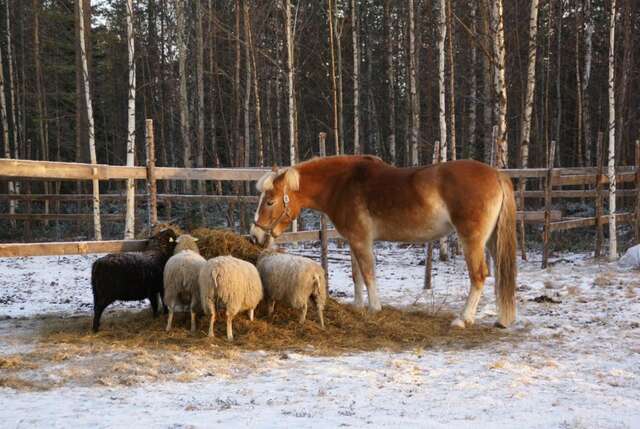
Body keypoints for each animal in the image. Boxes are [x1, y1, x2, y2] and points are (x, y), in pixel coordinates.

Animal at [248, 155, 516, 326]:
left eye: (270, 201)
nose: (255, 235)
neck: (342, 184)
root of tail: (496, 174)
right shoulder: (353, 241)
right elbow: (356, 275)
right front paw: (358, 306)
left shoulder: (361, 240)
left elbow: (368, 274)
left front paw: (374, 308)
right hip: (492, 241)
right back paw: (502, 319)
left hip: (472, 241)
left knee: (479, 276)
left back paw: (463, 319)